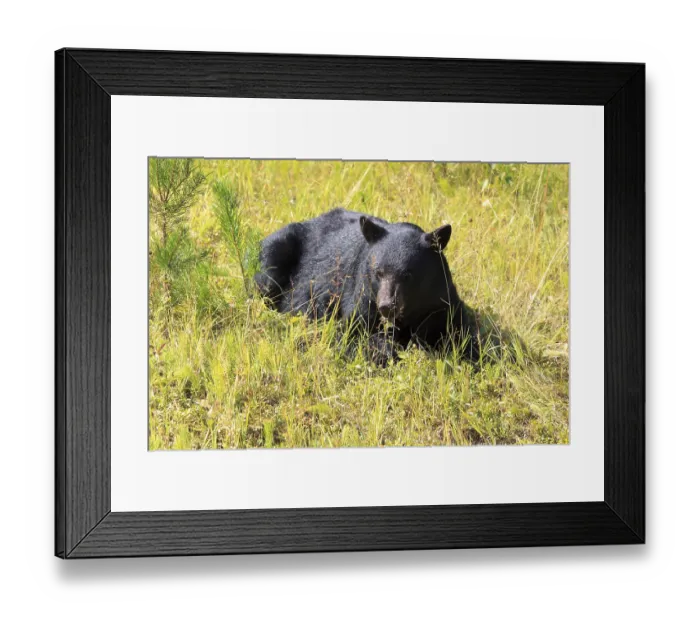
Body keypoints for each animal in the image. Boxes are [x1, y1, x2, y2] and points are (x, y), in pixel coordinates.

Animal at [254, 207, 480, 365]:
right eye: (378, 272)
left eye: (408, 275)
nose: (387, 306)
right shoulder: (363, 293)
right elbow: (351, 332)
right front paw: (386, 351)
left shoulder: (439, 298)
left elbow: (457, 329)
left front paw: (471, 353)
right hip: (277, 249)